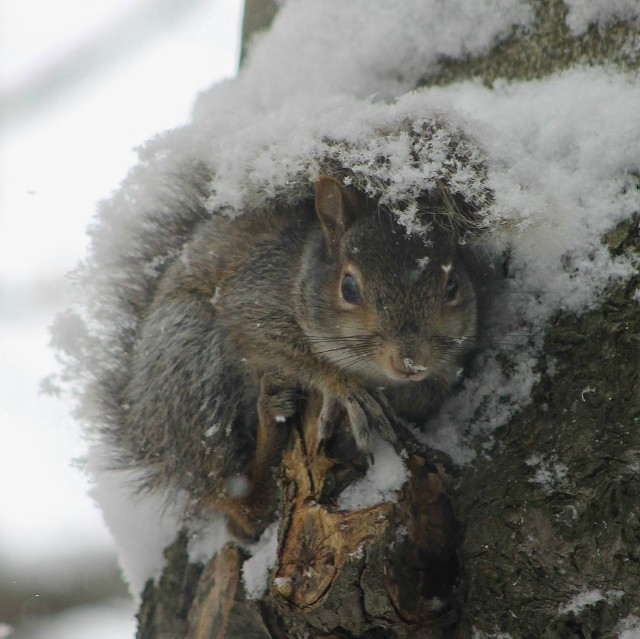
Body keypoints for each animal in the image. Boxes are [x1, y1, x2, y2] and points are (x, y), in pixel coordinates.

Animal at [122, 175, 483, 540]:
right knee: (239, 505)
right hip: (189, 361)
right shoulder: (253, 298)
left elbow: (430, 393)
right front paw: (347, 389)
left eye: (453, 284)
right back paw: (269, 423)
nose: (410, 362)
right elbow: (280, 344)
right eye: (348, 287)